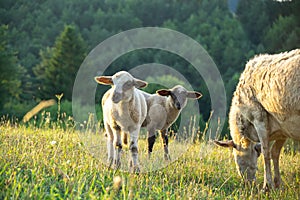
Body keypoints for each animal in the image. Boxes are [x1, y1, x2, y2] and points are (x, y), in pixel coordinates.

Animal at [214, 48, 300, 191]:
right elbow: (275, 152)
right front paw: (277, 184)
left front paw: (267, 186)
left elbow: (266, 153)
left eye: (237, 160)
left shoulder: (259, 119)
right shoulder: (283, 128)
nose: (248, 184)